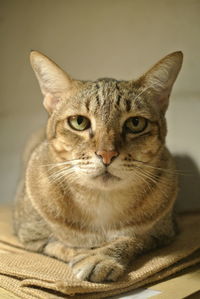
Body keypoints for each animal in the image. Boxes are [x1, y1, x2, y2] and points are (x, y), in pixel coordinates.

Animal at [13, 51, 183, 284]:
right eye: (78, 122)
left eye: (135, 123)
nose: (107, 154)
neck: (101, 202)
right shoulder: (31, 236)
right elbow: (63, 245)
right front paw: (87, 252)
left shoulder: (164, 232)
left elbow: (132, 238)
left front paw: (101, 256)